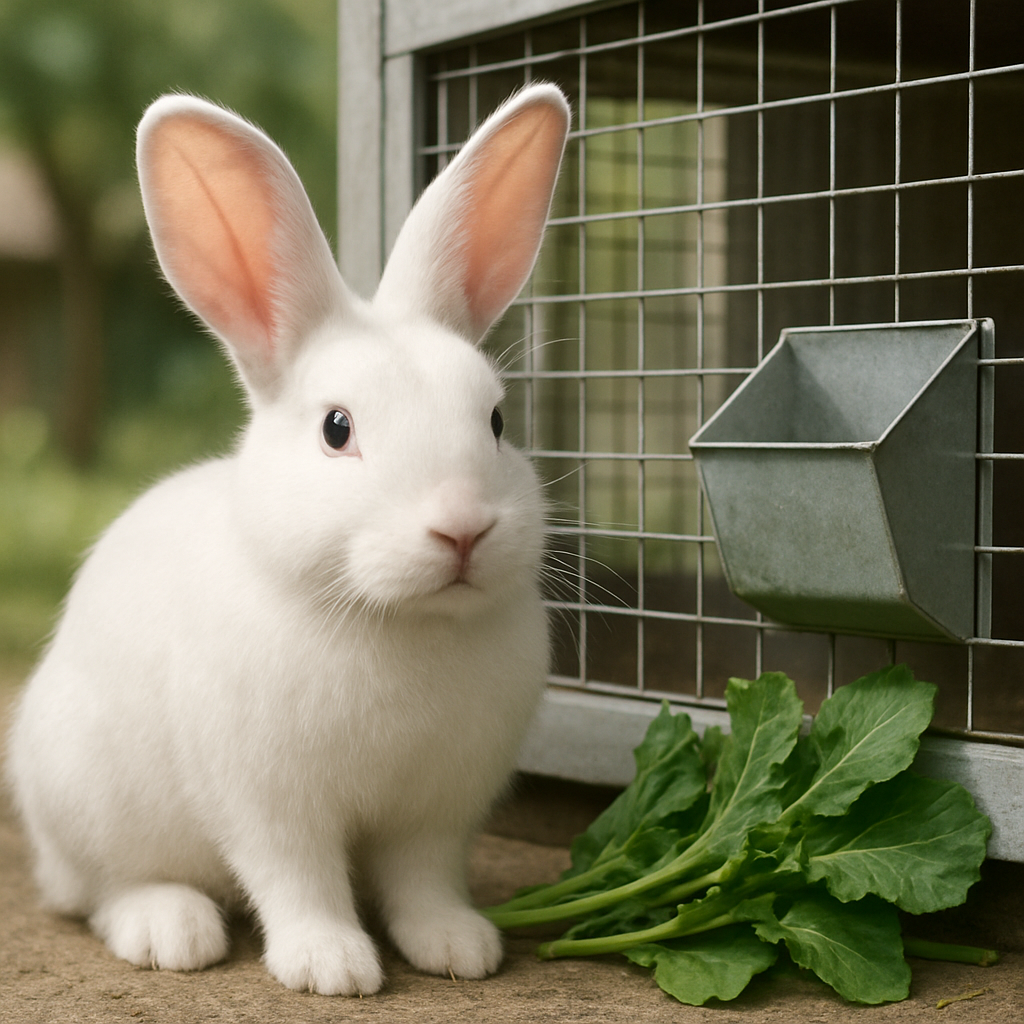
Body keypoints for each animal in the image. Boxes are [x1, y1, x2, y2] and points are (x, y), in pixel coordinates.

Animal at [6, 83, 570, 995]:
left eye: (496, 421)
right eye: (337, 429)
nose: (462, 528)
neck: (396, 622)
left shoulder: (436, 812)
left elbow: (424, 881)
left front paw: (458, 948)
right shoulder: (269, 803)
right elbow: (297, 878)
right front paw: (330, 965)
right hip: (87, 797)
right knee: (98, 890)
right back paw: (171, 929)